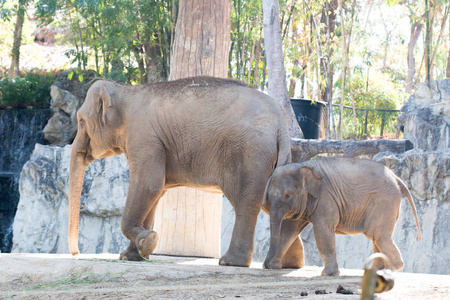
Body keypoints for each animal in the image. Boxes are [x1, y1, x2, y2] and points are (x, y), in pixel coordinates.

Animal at [66, 77, 292, 268]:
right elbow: (155, 193)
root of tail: (281, 120)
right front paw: (132, 255)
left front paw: (148, 241)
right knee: (273, 203)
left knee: (246, 204)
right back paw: (286, 264)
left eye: (81, 121)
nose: (76, 254)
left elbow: (148, 185)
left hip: (249, 154)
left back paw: (230, 262)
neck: (126, 90)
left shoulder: (144, 138)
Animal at [264, 157, 422, 276]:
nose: (266, 265)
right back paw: (375, 271)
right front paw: (275, 266)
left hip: (384, 201)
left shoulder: (326, 196)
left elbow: (322, 229)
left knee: (378, 235)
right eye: (268, 196)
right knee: (376, 236)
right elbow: (289, 230)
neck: (304, 166)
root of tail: (397, 179)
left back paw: (392, 269)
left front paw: (328, 274)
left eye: (287, 196)